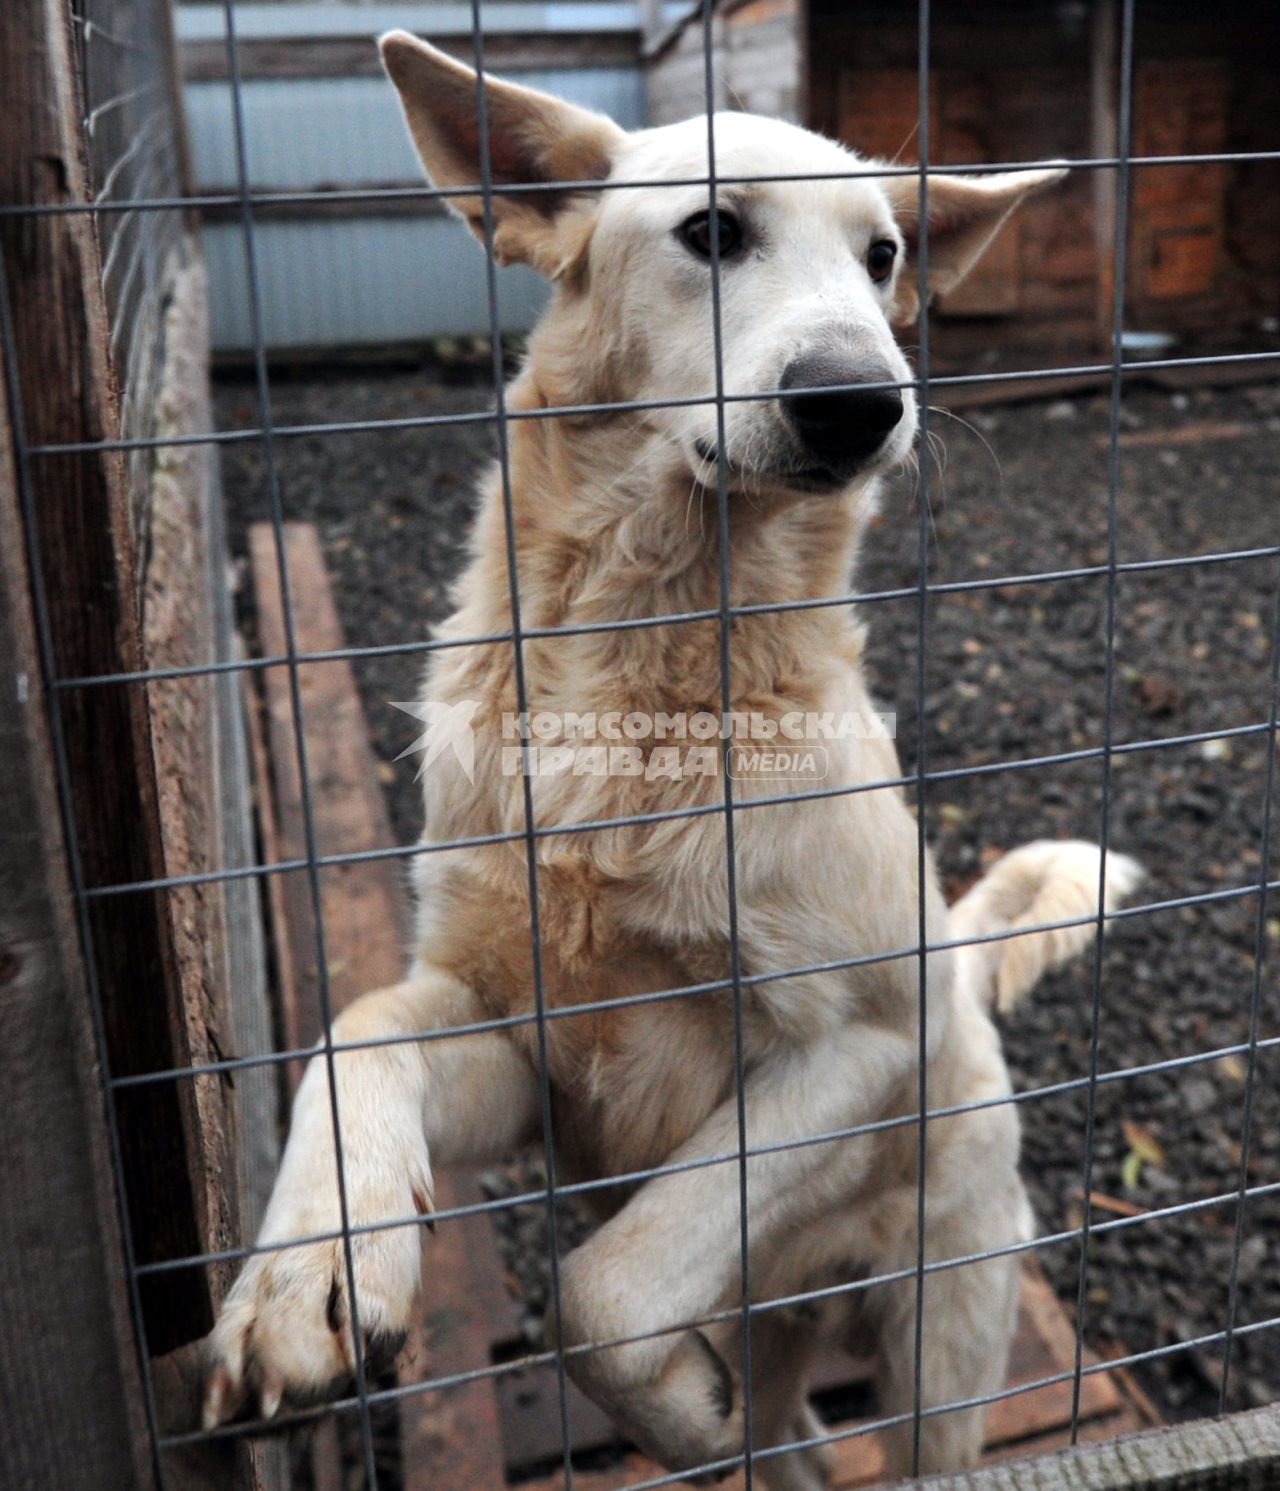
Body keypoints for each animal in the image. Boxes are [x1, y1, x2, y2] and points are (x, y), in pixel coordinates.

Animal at [207, 40, 1139, 1485]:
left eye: (881, 257)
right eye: (711, 232)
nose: (861, 402)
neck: (646, 661)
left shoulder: (855, 1053)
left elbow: (597, 1291)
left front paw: (673, 1409)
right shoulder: (520, 1046)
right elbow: (353, 1032)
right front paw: (308, 1277)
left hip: (936, 1339)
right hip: (788, 1317)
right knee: (786, 1429)